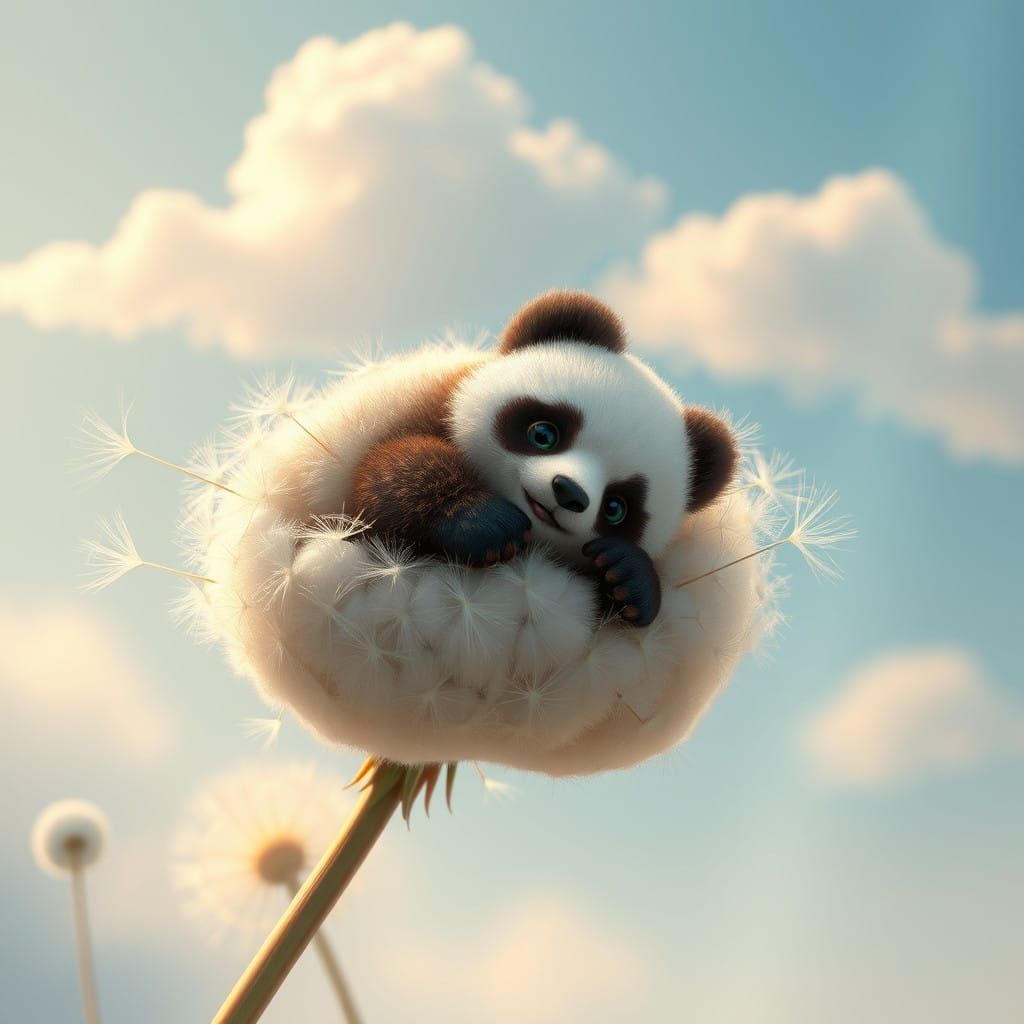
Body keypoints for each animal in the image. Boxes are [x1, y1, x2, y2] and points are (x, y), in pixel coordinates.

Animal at [349, 291, 738, 628]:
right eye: (544, 434)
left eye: (616, 507)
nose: (568, 493)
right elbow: (381, 479)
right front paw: (482, 522)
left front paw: (630, 577)